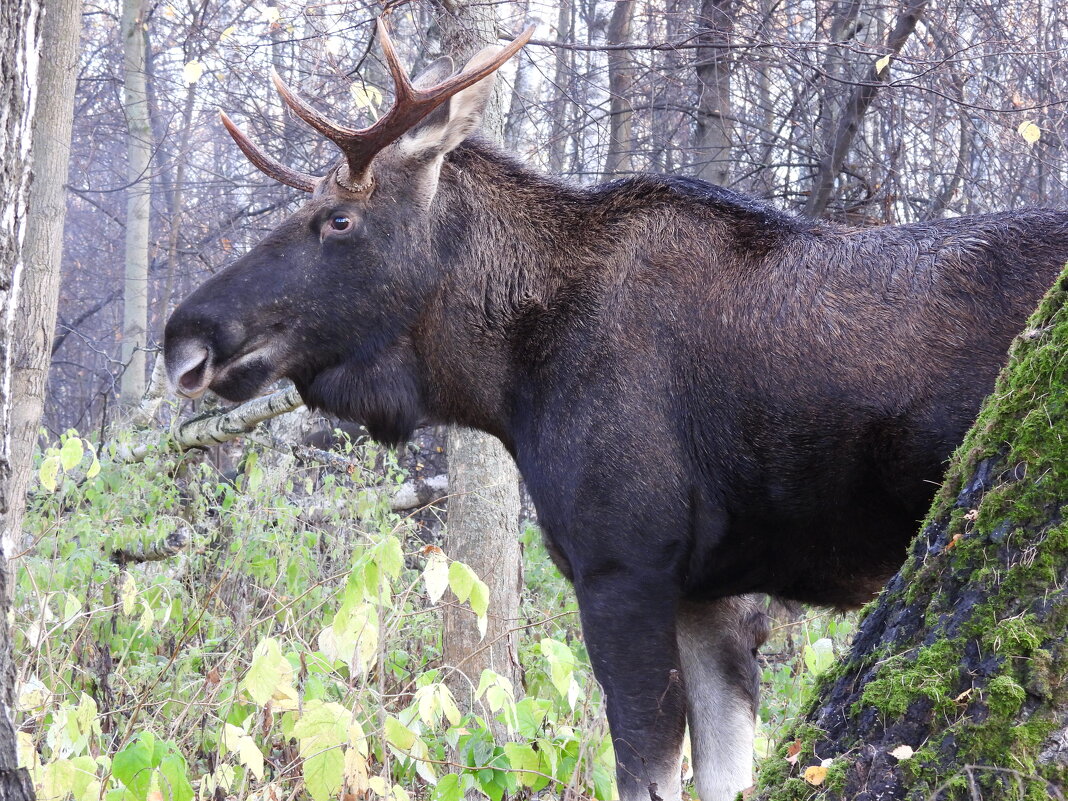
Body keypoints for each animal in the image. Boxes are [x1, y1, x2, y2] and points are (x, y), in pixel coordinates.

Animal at [162, 21, 1068, 801]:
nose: (184, 335)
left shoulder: (623, 565)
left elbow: (644, 771)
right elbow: (721, 774)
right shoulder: (713, 593)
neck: (506, 383)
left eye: (338, 219)